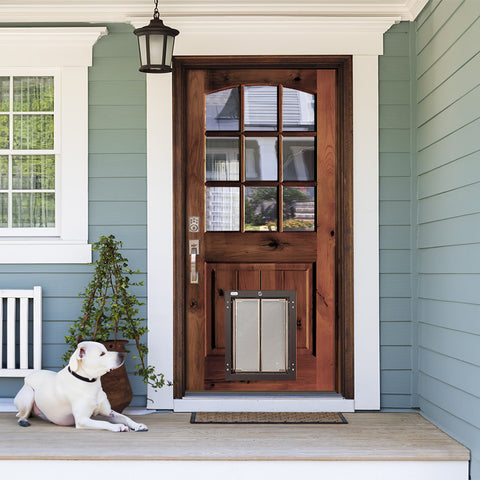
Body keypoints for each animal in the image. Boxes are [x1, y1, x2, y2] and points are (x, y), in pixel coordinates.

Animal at [14, 340, 148, 434]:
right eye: (102, 354)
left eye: (107, 349)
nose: (124, 354)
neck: (90, 382)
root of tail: (29, 376)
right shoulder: (82, 420)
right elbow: (103, 422)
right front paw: (118, 426)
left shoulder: (109, 412)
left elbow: (125, 417)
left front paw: (137, 425)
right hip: (29, 395)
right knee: (20, 415)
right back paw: (23, 421)